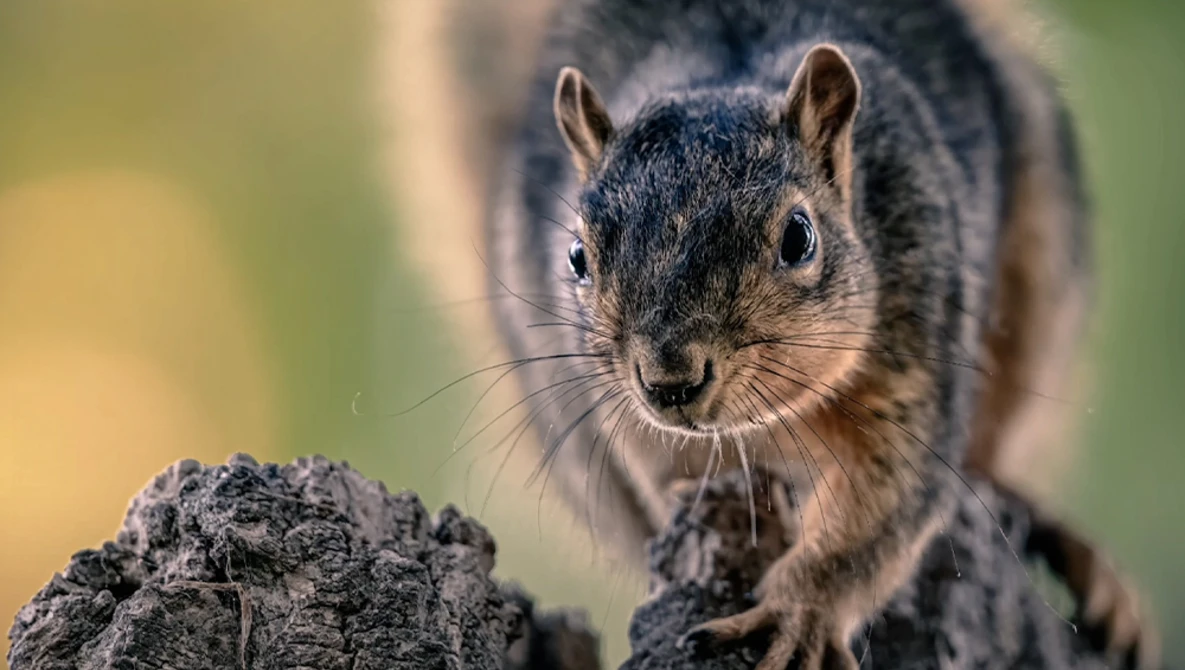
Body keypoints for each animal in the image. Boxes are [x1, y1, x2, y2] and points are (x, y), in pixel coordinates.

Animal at [484, 0, 1158, 666]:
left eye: (799, 237)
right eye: (576, 257)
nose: (669, 382)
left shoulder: (918, 336)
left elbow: (880, 509)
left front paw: (797, 612)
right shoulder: (632, 423)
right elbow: (679, 477)